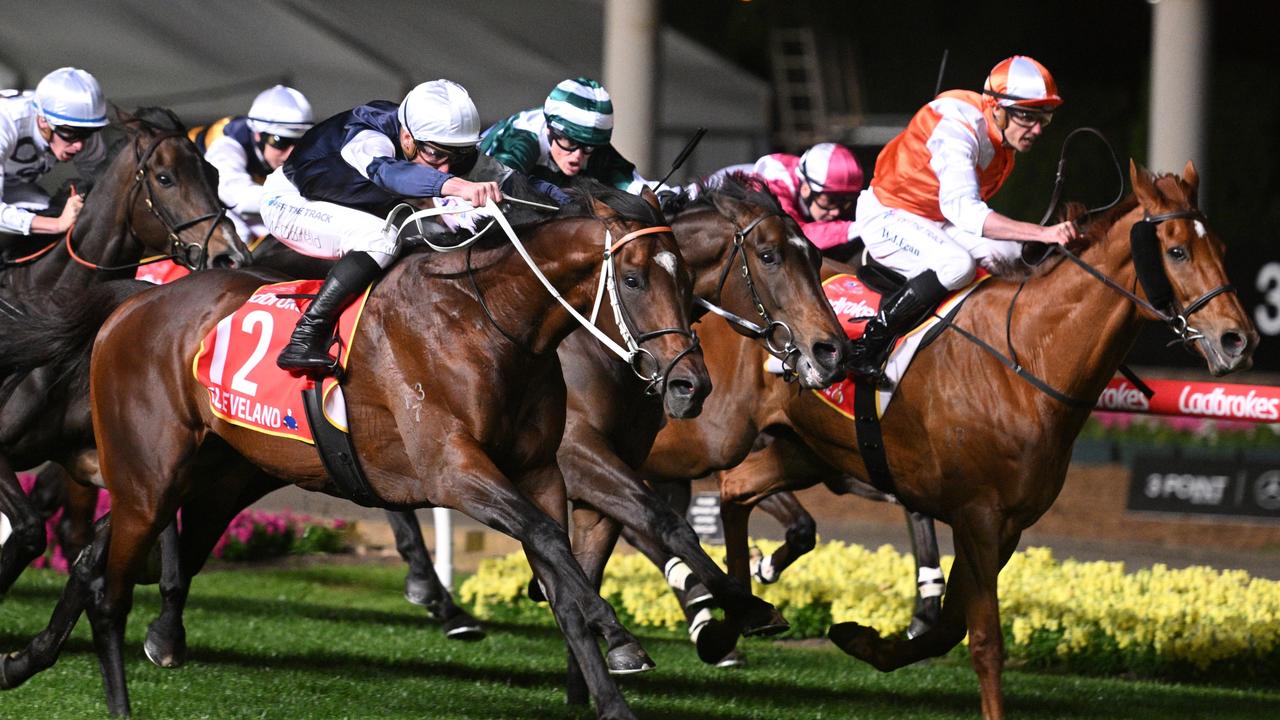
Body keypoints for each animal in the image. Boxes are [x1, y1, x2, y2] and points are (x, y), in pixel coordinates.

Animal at [0, 180, 711, 717]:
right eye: (634, 277)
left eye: (688, 282)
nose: (690, 383)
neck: (489, 321)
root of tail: (133, 303)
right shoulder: (454, 470)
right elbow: (550, 546)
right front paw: (619, 630)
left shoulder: (538, 471)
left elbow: (560, 573)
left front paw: (612, 691)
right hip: (149, 478)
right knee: (110, 589)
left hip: (210, 478)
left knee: (93, 562)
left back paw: (26, 661)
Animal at [627, 159, 1249, 712]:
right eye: (1176, 250)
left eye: (1221, 248)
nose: (1237, 339)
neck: (1027, 358)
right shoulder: (977, 514)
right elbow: (985, 641)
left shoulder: (1006, 525)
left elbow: (949, 627)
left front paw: (864, 640)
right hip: (707, 436)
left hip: (806, 452)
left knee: (734, 491)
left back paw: (733, 614)